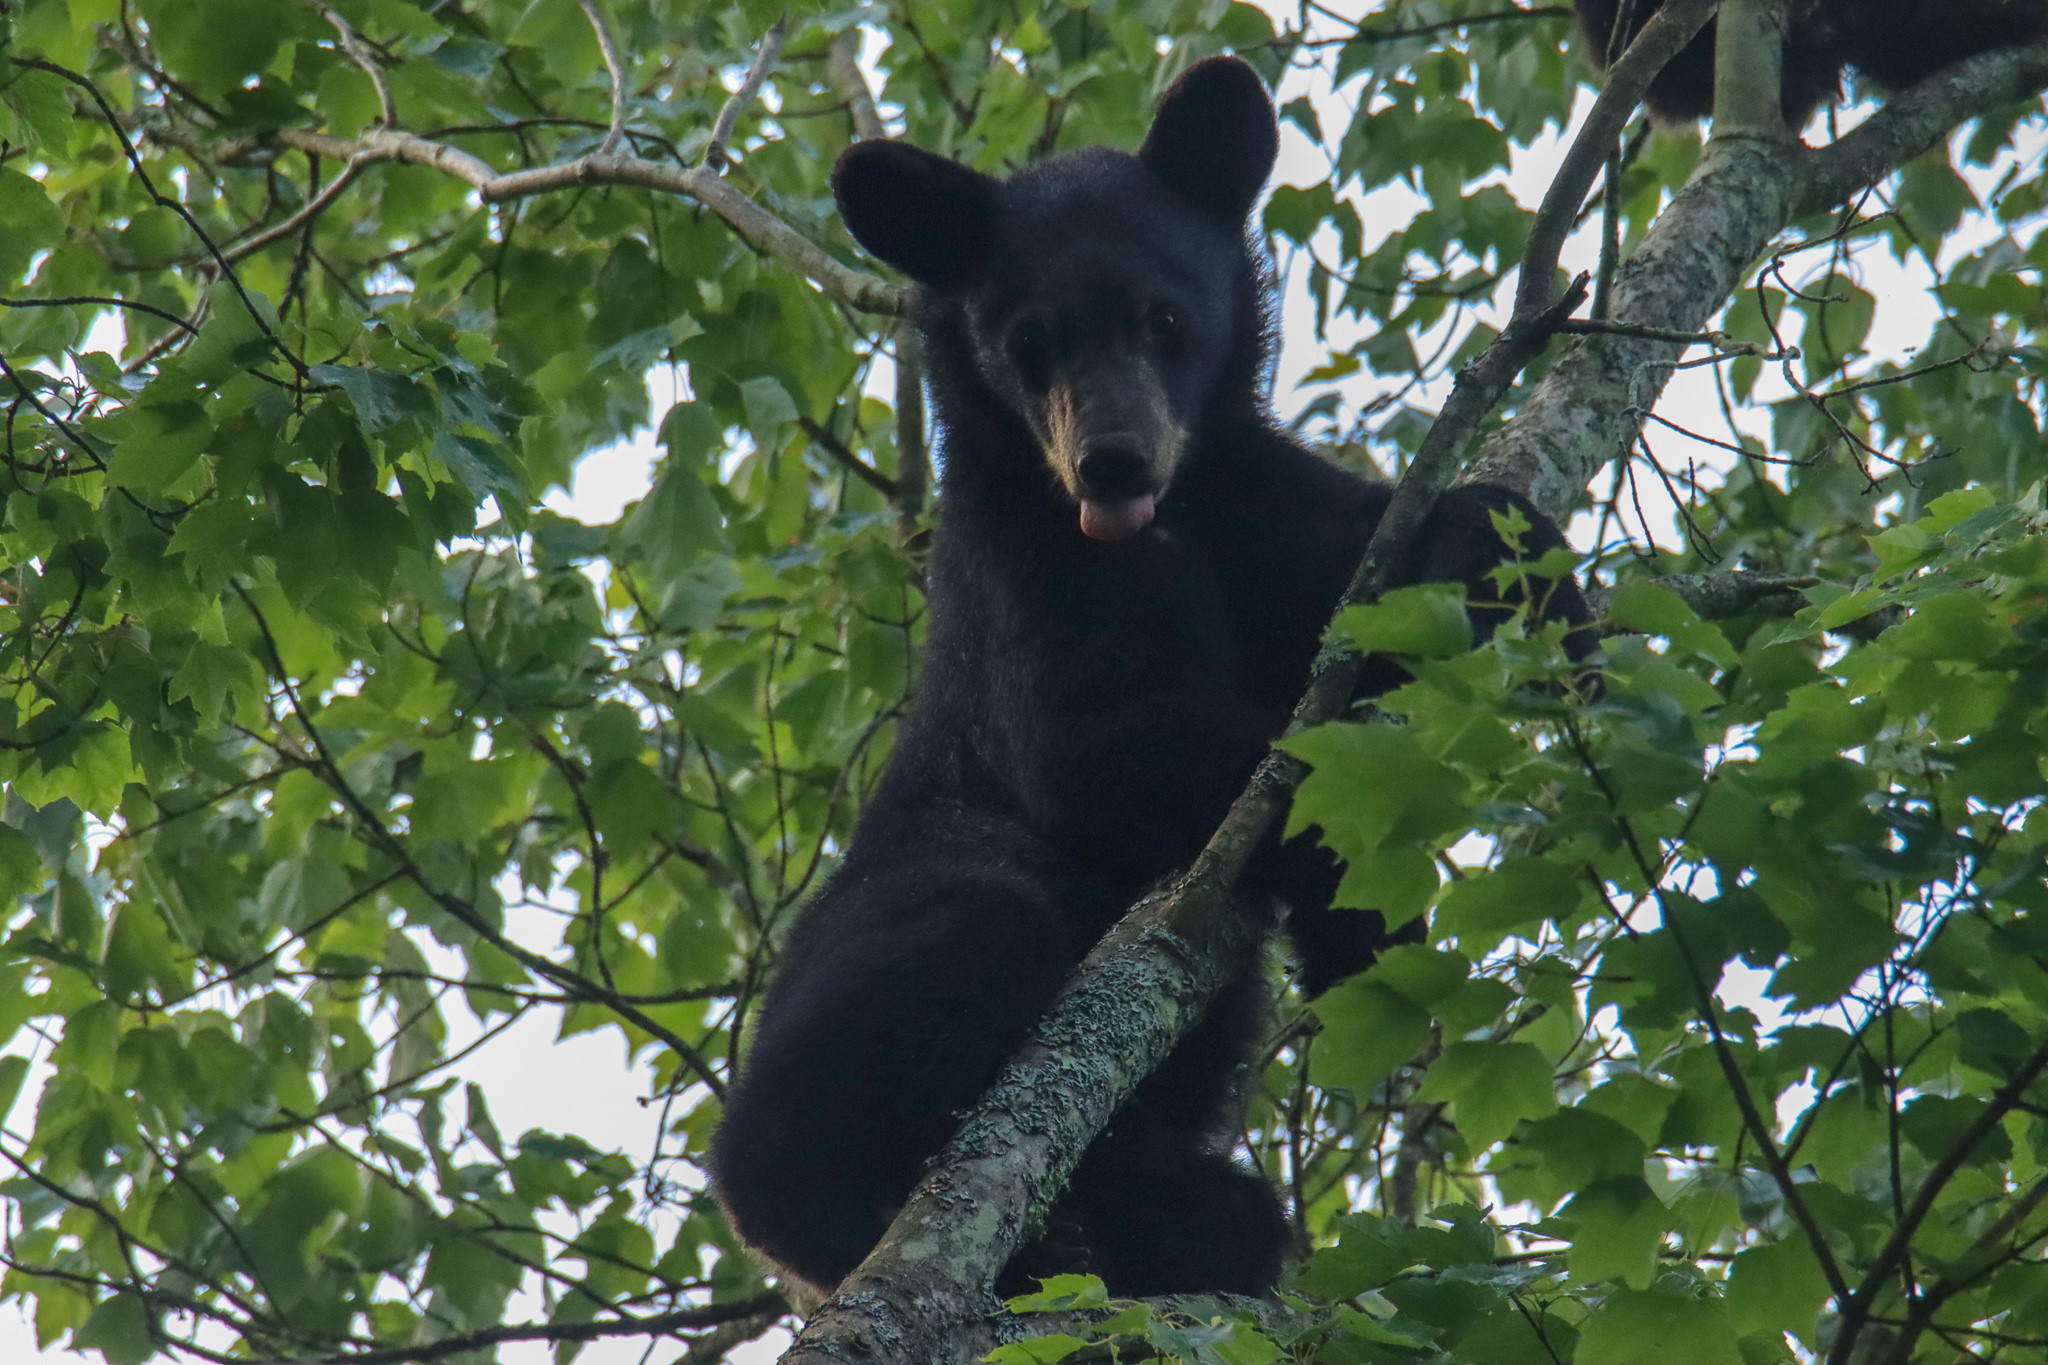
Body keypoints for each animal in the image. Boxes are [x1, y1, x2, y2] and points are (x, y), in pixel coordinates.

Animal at [712, 56, 1589, 1301]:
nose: (1112, 463)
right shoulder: (1017, 587)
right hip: (908, 902)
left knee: (1209, 1193)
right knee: (946, 944)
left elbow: (1370, 553)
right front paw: (1326, 859)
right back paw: (854, 1206)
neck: (1169, 526)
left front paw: (1532, 583)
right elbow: (1118, 749)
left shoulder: (1257, 507)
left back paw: (1156, 1224)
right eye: (1027, 340)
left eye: (1163, 317)